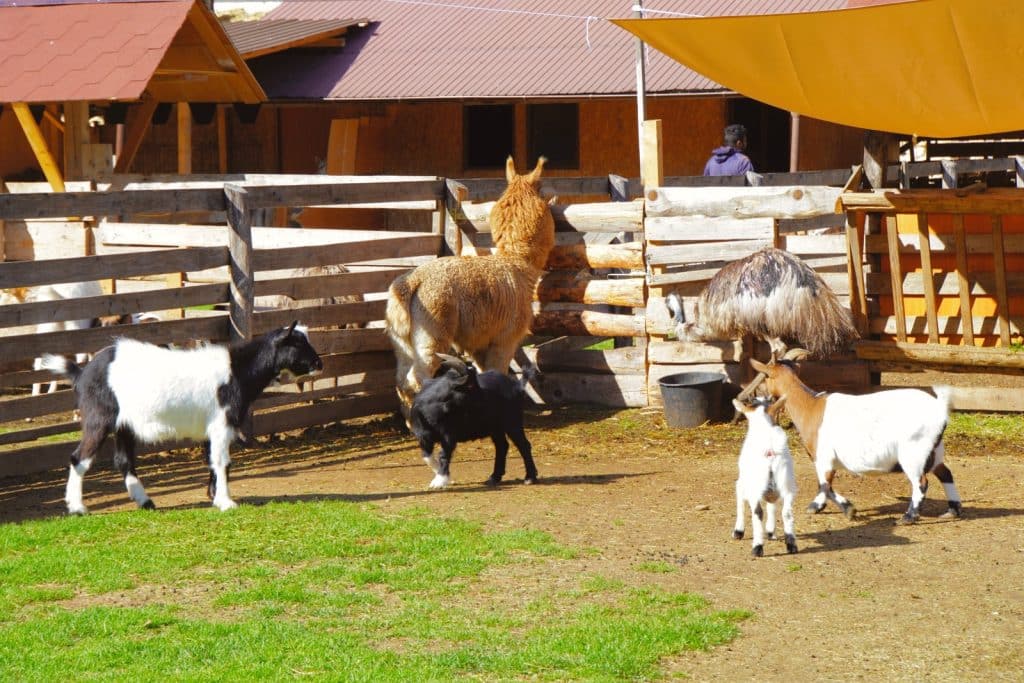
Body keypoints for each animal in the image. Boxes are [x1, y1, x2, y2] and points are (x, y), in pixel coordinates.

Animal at [38, 322, 323, 515]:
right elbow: (223, 461)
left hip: (124, 424)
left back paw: (145, 501)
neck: (238, 370)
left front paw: (214, 495)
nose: (318, 364)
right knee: (79, 458)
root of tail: (81, 372)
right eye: (297, 343)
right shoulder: (221, 423)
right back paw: (77, 507)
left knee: (123, 461)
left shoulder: (212, 427)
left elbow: (212, 461)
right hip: (99, 417)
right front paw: (226, 502)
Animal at [386, 156, 555, 412]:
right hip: (434, 323)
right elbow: (498, 370)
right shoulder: (505, 337)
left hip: (401, 338)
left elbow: (486, 374)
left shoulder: (479, 341)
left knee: (401, 379)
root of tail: (411, 283)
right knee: (420, 376)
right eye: (544, 191)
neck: (517, 265)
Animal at [409, 356, 538, 490]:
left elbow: (444, 455)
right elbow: (427, 456)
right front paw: (439, 473)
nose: (487, 401)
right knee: (502, 446)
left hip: (513, 422)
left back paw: (530, 477)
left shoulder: (448, 436)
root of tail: (517, 386)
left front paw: (440, 481)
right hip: (495, 428)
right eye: (471, 385)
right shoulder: (423, 437)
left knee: (523, 445)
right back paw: (494, 477)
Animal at [733, 397, 798, 557]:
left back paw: (757, 547)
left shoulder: (742, 483)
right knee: (787, 512)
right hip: (788, 485)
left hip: (754, 488)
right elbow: (772, 505)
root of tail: (770, 453)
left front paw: (738, 531)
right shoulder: (774, 490)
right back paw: (791, 545)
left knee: (757, 513)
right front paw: (771, 531)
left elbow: (740, 503)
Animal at [749, 357, 962, 525]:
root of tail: (939, 407)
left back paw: (909, 517)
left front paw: (845, 509)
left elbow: (825, 485)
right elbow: (824, 484)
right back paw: (953, 510)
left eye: (765, 376)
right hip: (935, 451)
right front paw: (818, 506)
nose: (755, 396)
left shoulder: (823, 456)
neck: (811, 406)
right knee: (946, 473)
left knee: (921, 482)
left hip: (914, 452)